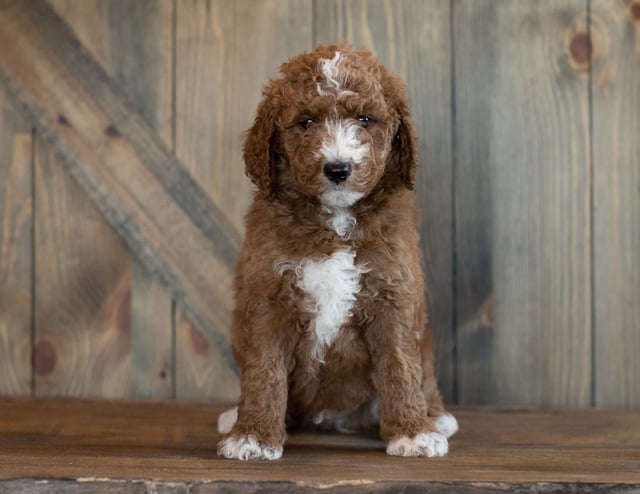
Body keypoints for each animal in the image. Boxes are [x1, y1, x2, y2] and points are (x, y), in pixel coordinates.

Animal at [218, 44, 458, 462]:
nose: (338, 168)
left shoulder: (393, 292)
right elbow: (264, 369)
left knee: (424, 373)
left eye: (365, 120)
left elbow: (400, 365)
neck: (335, 221)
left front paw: (412, 433)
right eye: (306, 122)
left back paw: (436, 417)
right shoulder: (268, 295)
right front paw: (253, 436)